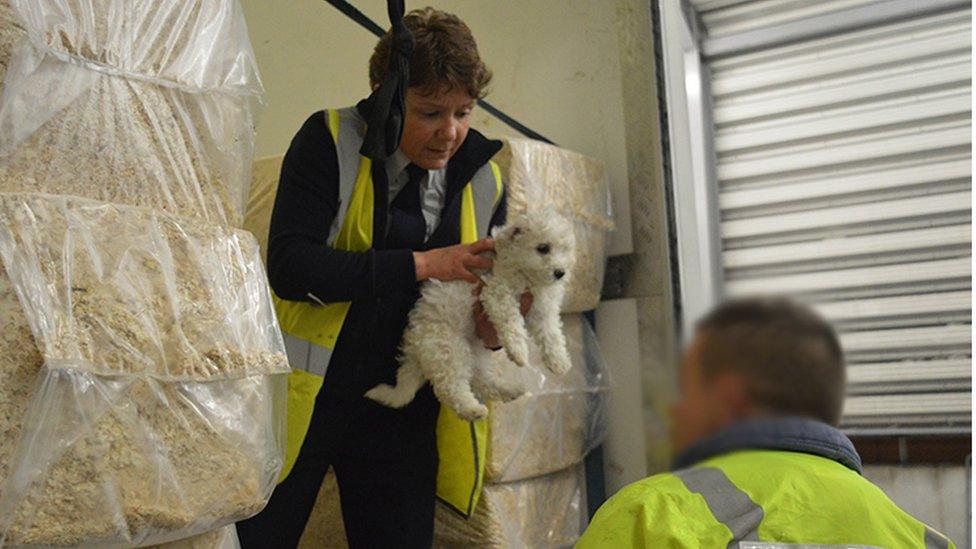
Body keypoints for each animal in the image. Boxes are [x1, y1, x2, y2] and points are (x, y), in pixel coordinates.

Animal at [368, 210, 580, 420]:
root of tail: (414, 349)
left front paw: (559, 362)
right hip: (449, 349)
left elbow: (551, 335)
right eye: (543, 248)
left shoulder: (541, 311)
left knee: (480, 382)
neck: (525, 273)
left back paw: (511, 390)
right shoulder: (497, 292)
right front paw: (518, 352)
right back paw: (473, 409)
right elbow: (511, 322)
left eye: (565, 250)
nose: (560, 272)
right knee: (451, 387)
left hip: (475, 353)